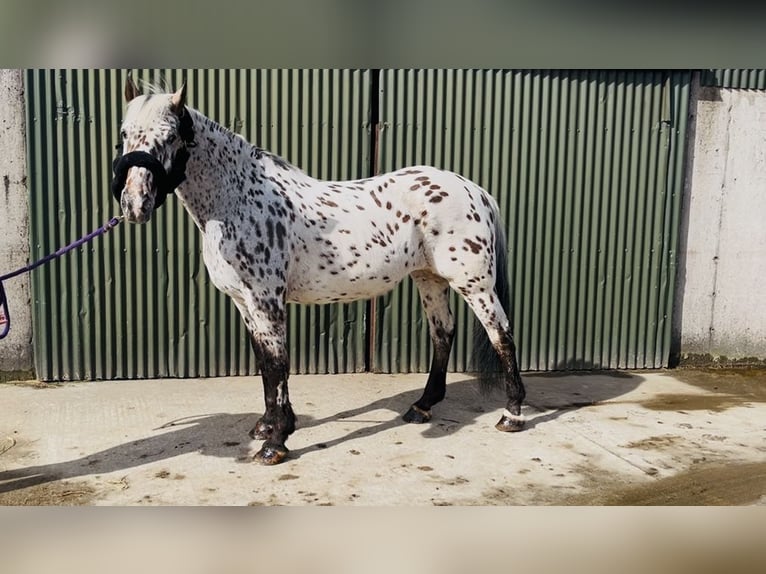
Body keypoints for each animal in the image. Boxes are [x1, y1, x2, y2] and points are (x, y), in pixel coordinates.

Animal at [112, 78, 526, 465]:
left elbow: (277, 365)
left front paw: (276, 443)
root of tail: (474, 190)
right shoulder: (245, 304)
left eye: (170, 137)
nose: (134, 204)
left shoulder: (266, 301)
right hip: (430, 278)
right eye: (124, 135)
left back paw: (512, 415)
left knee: (502, 335)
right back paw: (422, 406)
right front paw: (267, 426)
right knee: (443, 333)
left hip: (474, 283)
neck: (239, 201)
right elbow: (264, 364)